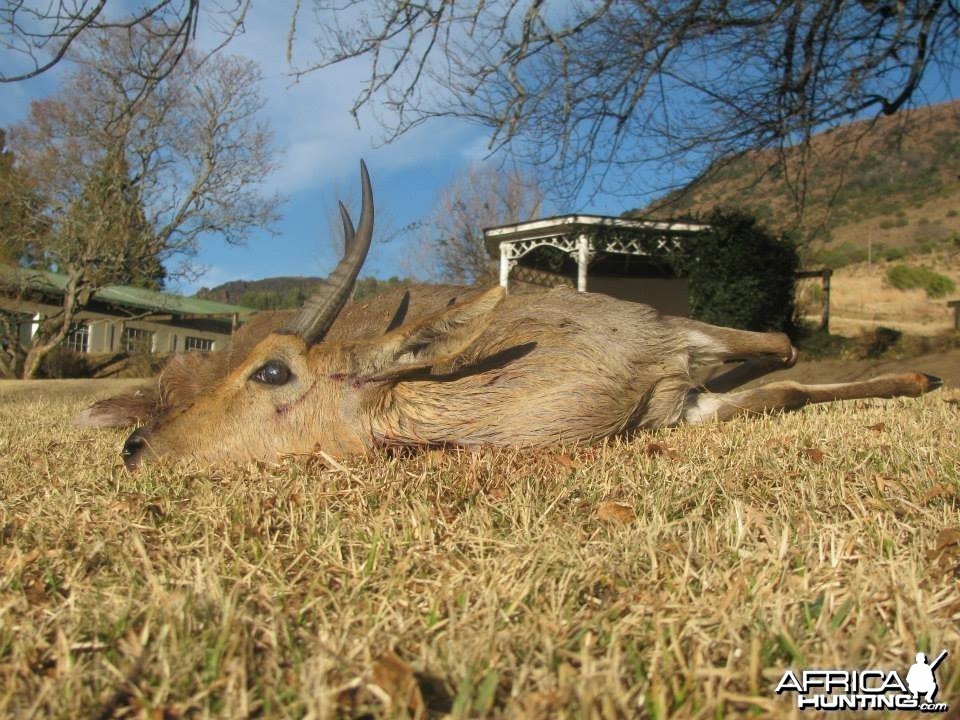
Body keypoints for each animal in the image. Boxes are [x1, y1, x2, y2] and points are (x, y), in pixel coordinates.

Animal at [77, 161, 944, 470]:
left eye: (273, 370)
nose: (136, 446)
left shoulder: (671, 339)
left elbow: (784, 348)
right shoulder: (678, 407)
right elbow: (784, 387)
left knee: (782, 343)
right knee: (782, 372)